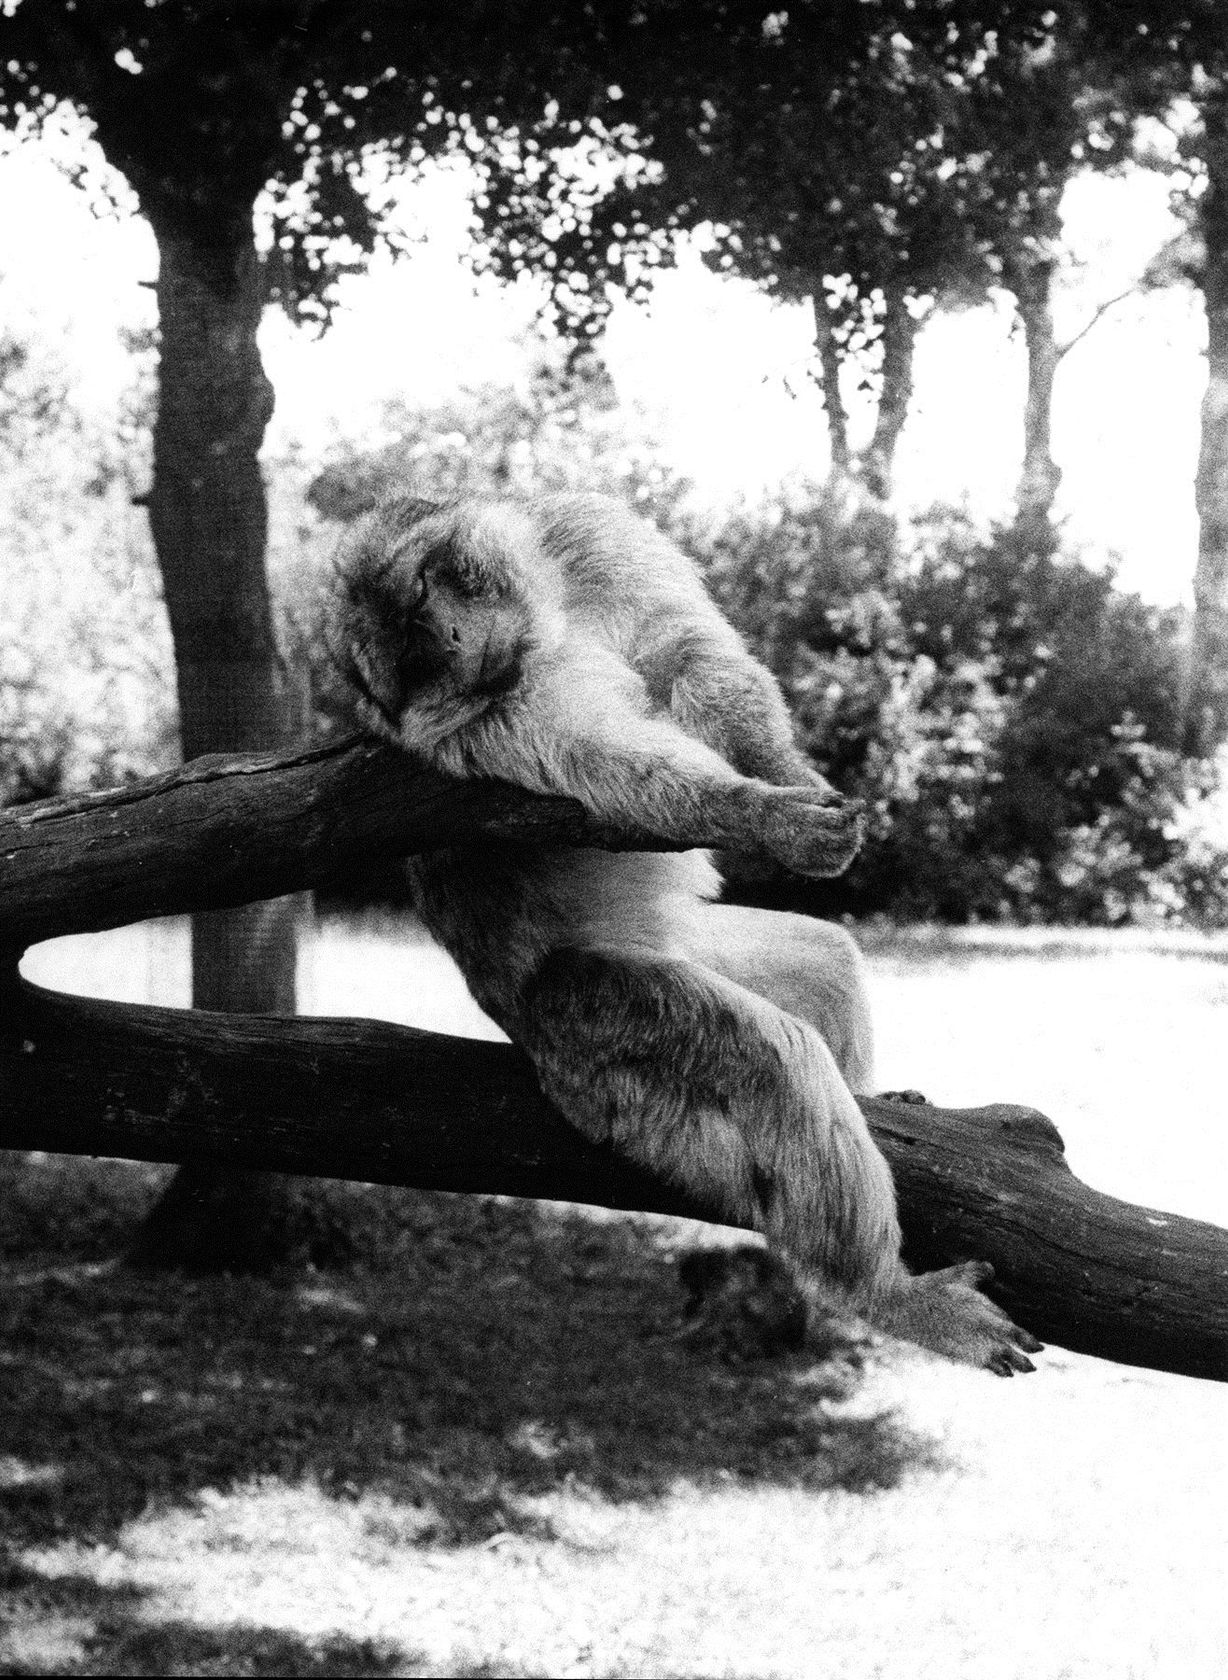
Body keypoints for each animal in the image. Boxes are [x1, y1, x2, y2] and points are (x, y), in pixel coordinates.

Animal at [326, 489, 1042, 1376]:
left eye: (421, 603)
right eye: (410, 660)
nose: (452, 645)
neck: (544, 633)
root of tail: (516, 1017)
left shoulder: (587, 538)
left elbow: (688, 657)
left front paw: (783, 771)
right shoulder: (482, 730)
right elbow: (613, 768)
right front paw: (760, 814)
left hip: (688, 950)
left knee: (823, 959)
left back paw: (869, 1098)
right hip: (585, 1020)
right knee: (766, 1058)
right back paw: (883, 1293)